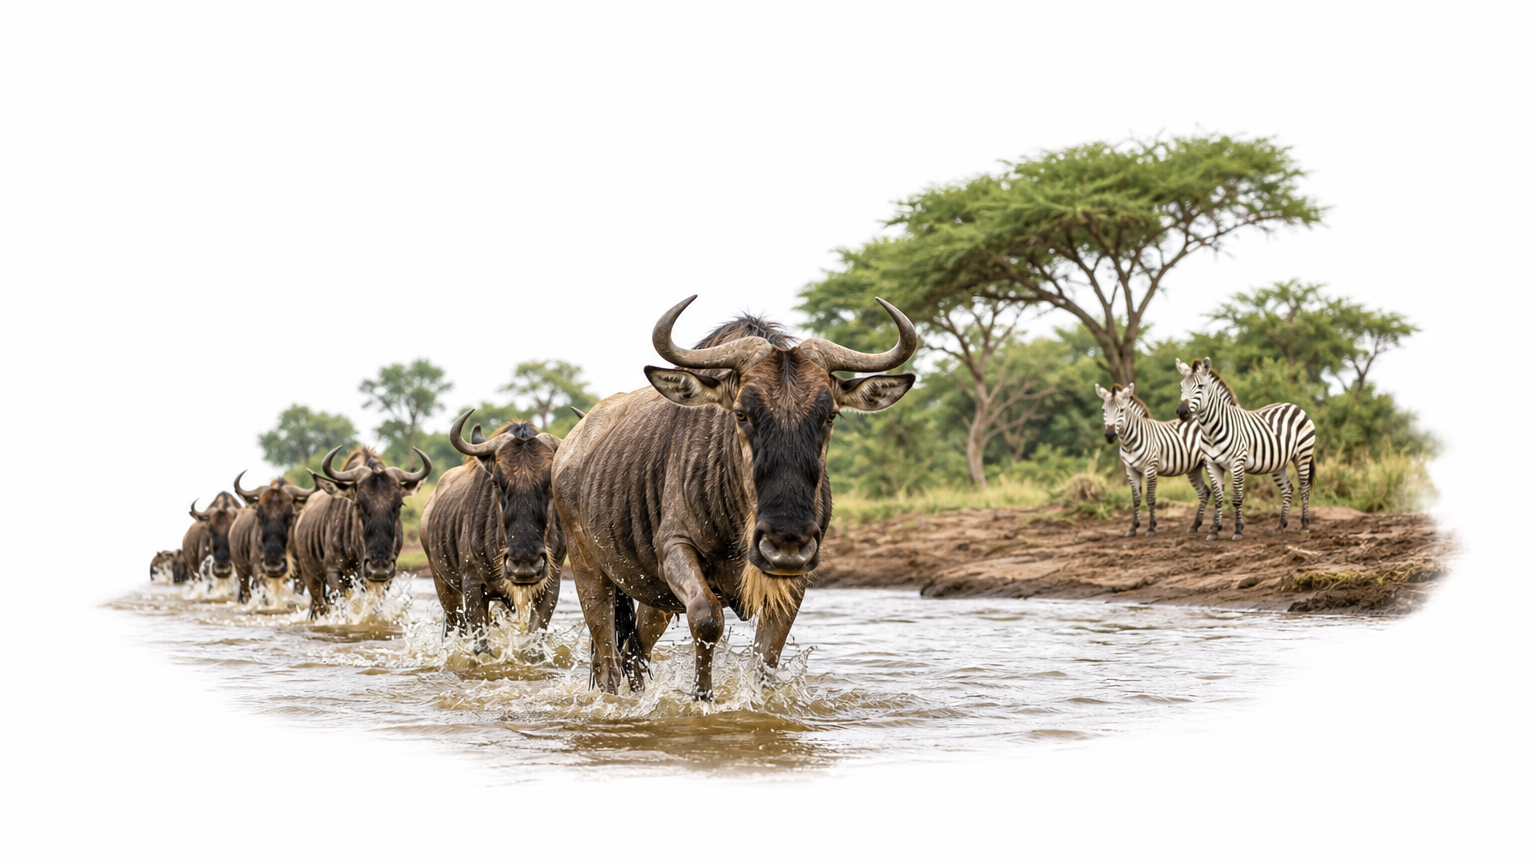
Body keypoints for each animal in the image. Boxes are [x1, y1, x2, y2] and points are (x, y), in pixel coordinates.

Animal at [1095, 382, 1214, 536]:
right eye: (1103, 410)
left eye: (1121, 410)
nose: (1109, 435)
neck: (1129, 442)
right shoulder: (1131, 470)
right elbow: (1136, 499)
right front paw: (1133, 528)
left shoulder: (1150, 468)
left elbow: (1150, 499)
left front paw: (1151, 528)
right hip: (1194, 467)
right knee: (1204, 492)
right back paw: (1195, 525)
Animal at [1175, 357, 1317, 540]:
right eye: (1181, 387)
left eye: (1200, 386)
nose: (1182, 412)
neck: (1211, 431)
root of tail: (1293, 405)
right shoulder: (1212, 465)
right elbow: (1218, 498)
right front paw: (1214, 530)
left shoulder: (1237, 463)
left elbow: (1236, 498)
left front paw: (1238, 530)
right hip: (1279, 462)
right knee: (1288, 489)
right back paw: (1280, 526)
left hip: (1302, 455)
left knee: (1304, 488)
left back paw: (1305, 525)